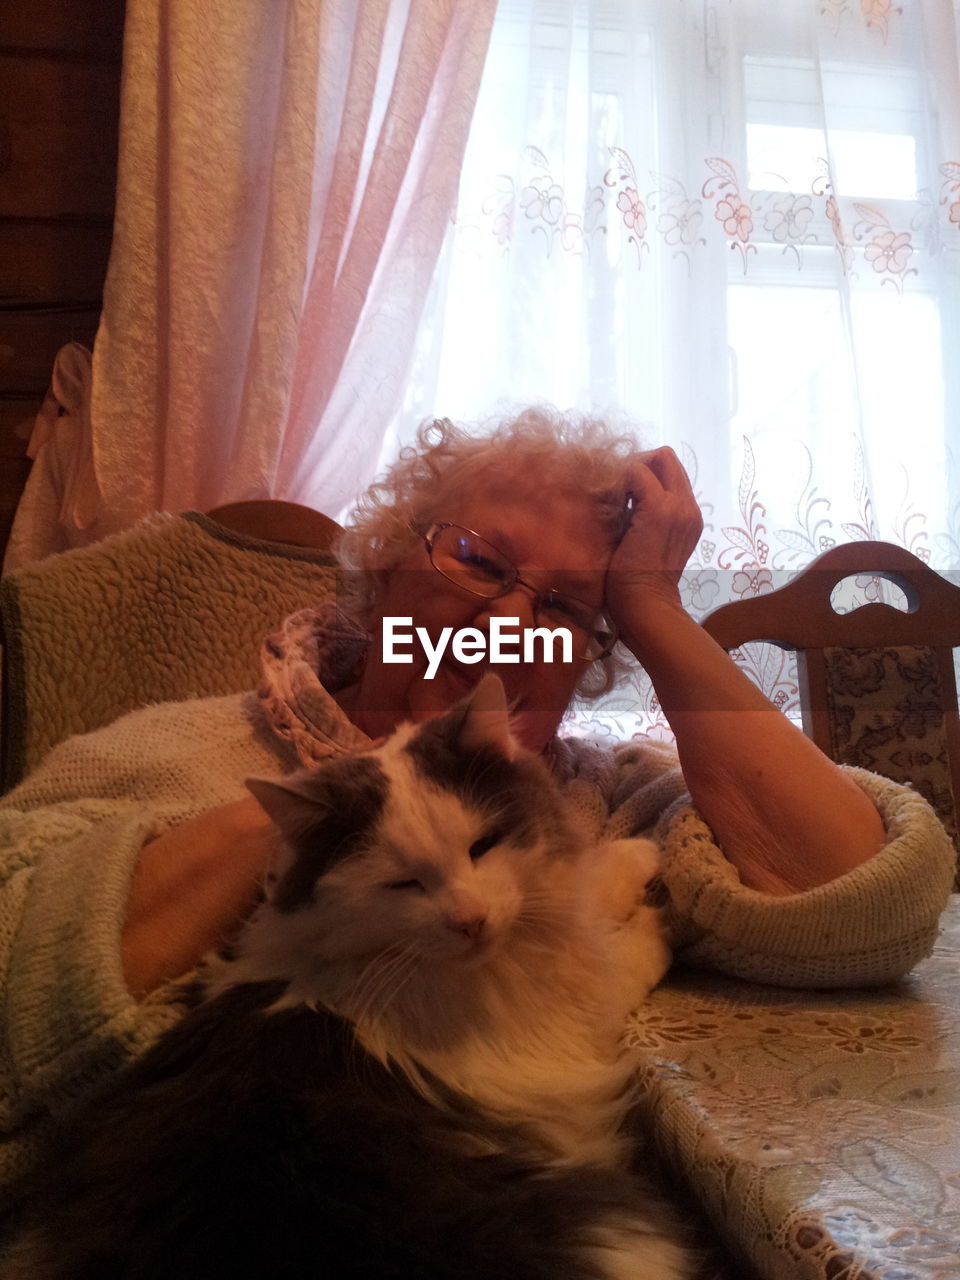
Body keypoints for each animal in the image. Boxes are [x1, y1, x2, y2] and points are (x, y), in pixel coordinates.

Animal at [11, 675, 696, 1274]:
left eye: (482, 848)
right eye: (404, 884)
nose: (470, 922)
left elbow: (586, 885)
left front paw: (639, 857)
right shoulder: (576, 1002)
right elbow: (618, 945)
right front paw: (663, 918)